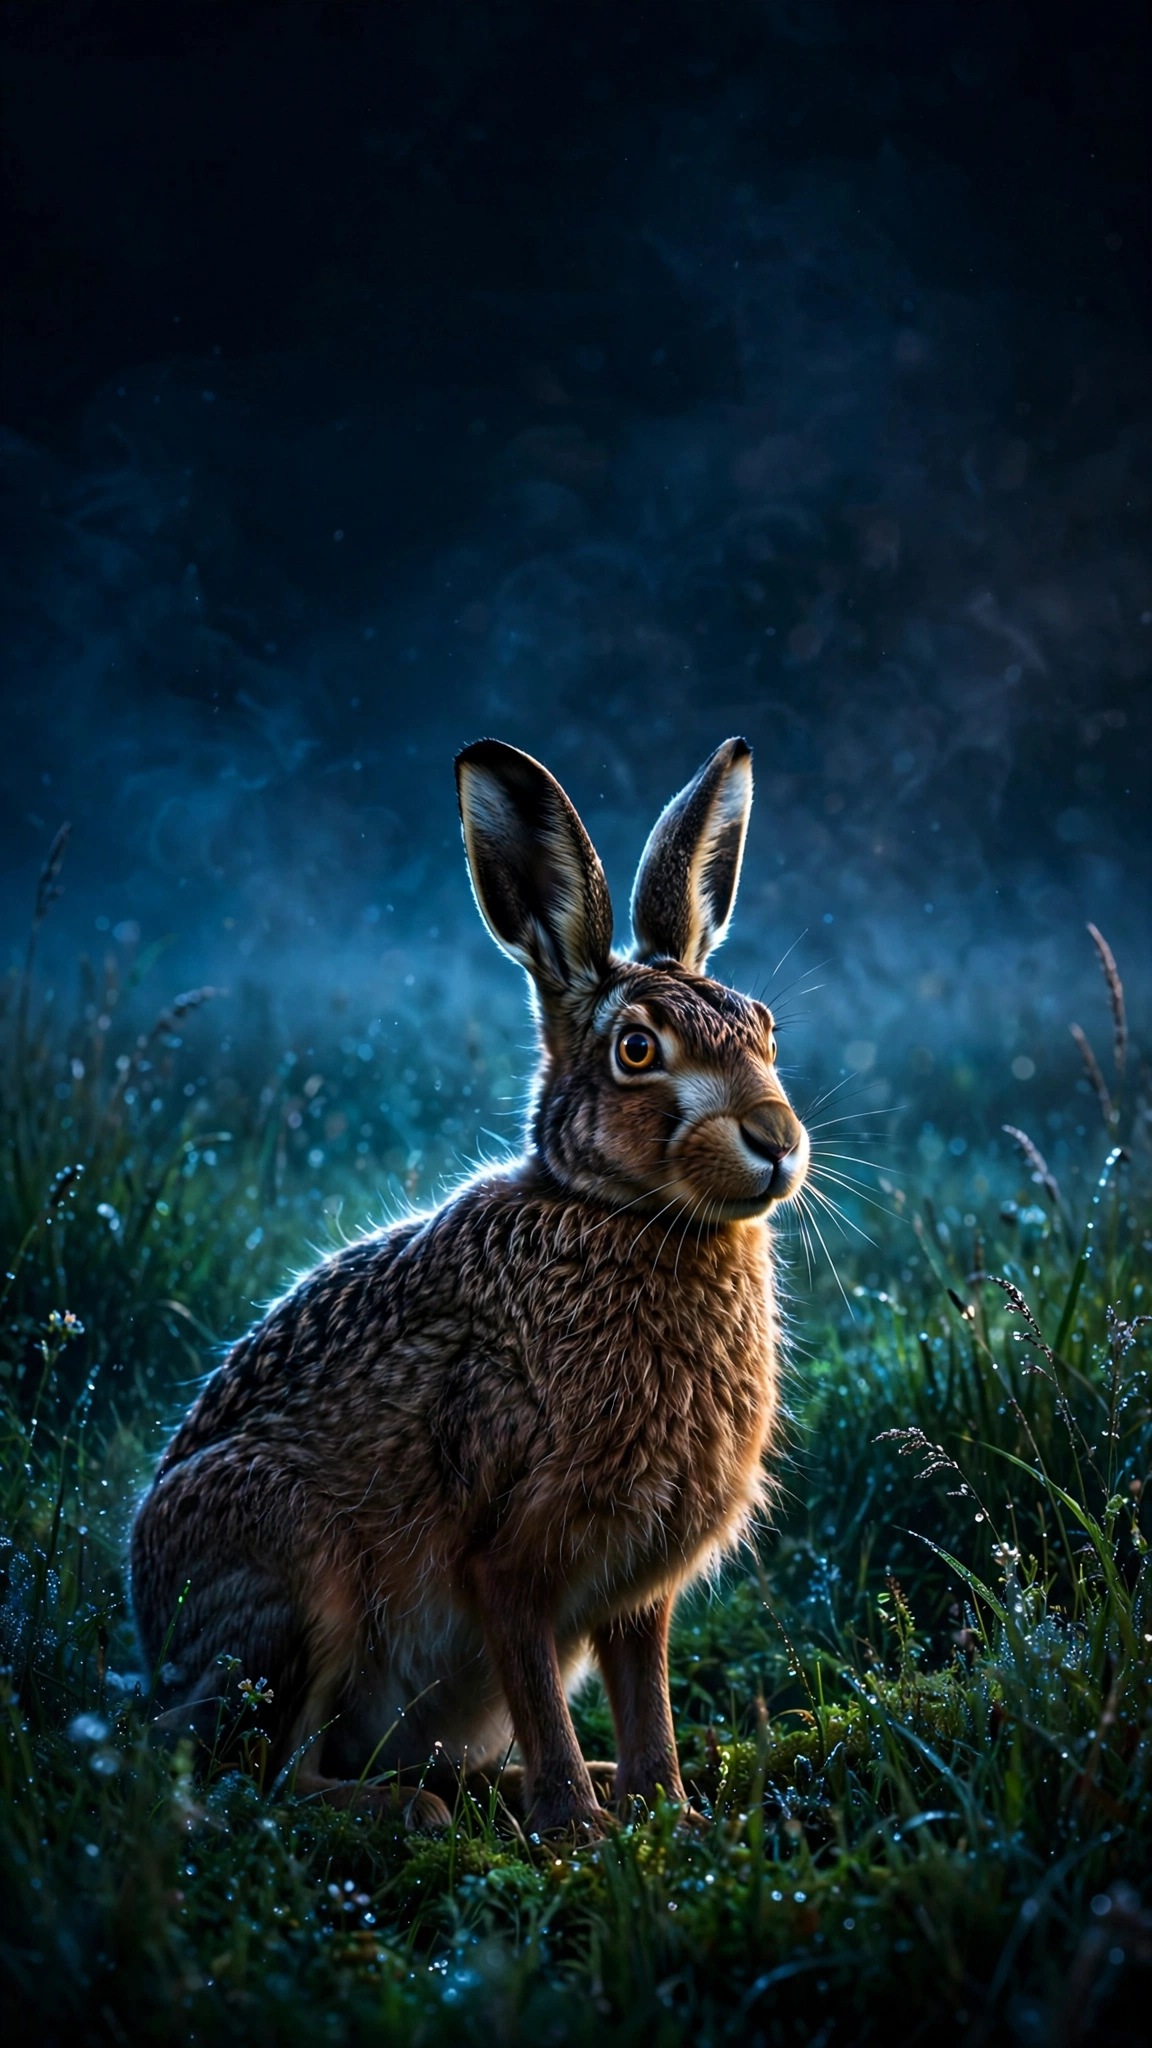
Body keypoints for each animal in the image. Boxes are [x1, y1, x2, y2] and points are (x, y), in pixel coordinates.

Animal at [130, 735, 809, 1835]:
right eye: (637, 1050)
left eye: (765, 1029)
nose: (777, 1140)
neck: (622, 1213)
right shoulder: (510, 1552)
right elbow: (535, 1676)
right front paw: (578, 1832)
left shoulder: (636, 1587)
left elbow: (649, 1695)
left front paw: (668, 1813)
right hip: (296, 1577)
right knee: (259, 1780)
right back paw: (416, 1812)